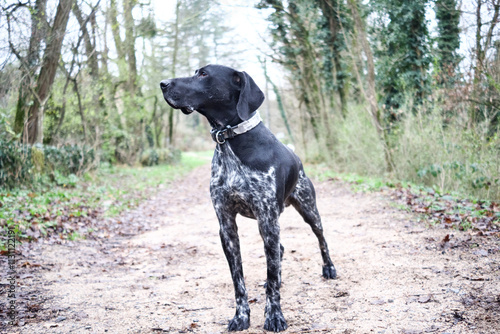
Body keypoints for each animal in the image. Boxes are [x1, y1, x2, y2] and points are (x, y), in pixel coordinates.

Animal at [160, 64, 336, 332]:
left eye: (203, 74)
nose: (163, 84)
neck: (229, 141)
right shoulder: (227, 226)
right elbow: (238, 281)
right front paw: (241, 316)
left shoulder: (267, 220)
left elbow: (271, 280)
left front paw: (274, 316)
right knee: (280, 251)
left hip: (307, 209)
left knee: (321, 238)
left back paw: (329, 268)